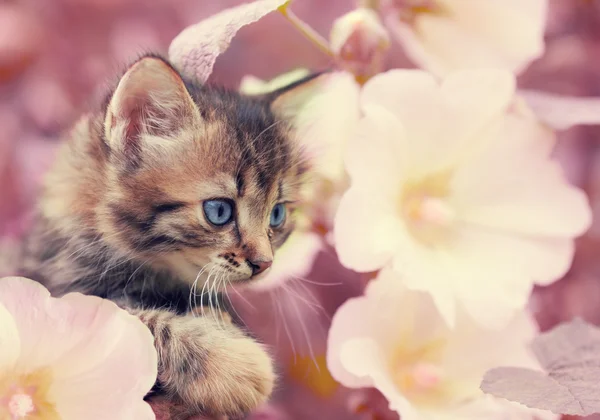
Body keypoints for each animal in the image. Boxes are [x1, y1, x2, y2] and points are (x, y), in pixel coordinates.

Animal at [16, 55, 316, 416]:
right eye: (219, 211)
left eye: (277, 215)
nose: (264, 264)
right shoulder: (57, 297)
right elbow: (134, 322)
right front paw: (234, 366)